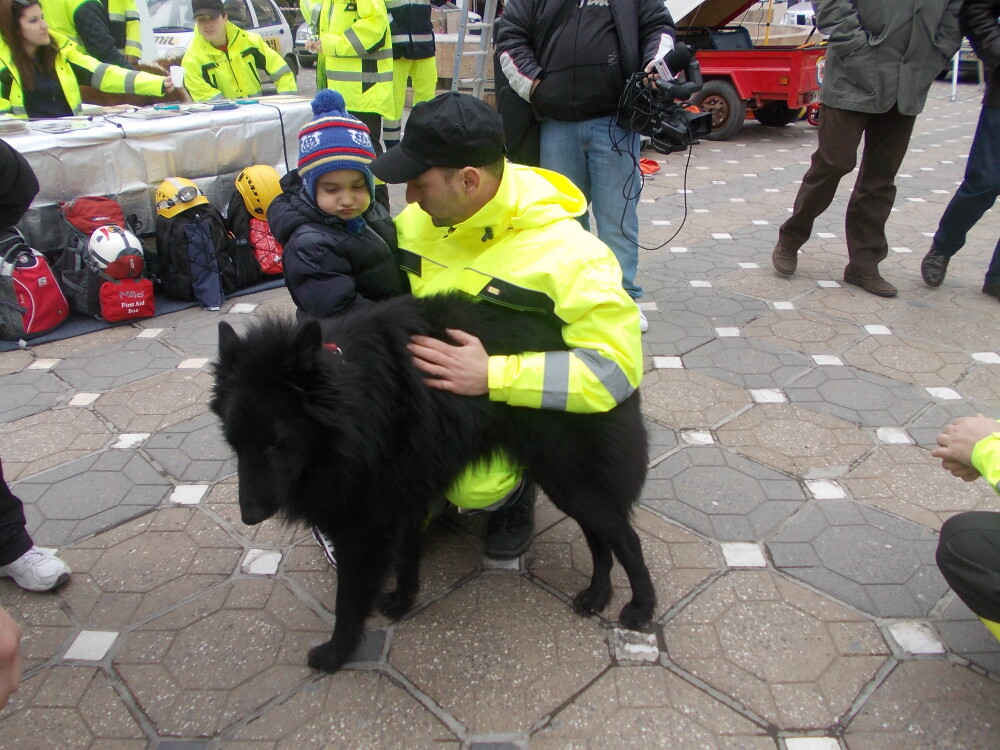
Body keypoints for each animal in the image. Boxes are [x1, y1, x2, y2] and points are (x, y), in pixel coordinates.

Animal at [211, 294, 656, 676]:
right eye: (234, 442)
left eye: (276, 442)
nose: (249, 516)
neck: (352, 394)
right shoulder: (402, 497)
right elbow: (407, 556)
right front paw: (402, 600)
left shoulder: (365, 525)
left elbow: (348, 599)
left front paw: (337, 652)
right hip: (566, 480)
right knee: (600, 537)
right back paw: (597, 595)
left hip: (572, 479)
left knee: (626, 538)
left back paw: (642, 607)